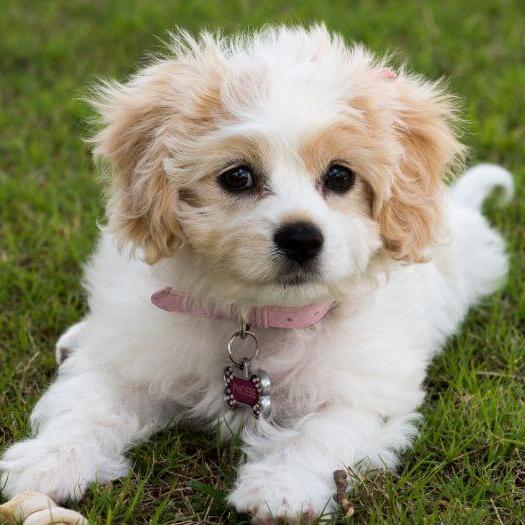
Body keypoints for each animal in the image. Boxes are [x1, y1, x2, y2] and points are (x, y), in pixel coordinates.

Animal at [0, 23, 512, 520]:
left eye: (340, 176)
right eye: (238, 177)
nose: (302, 238)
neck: (260, 316)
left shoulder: (365, 392)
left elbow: (323, 433)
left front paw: (281, 490)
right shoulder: (129, 360)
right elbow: (88, 404)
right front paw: (46, 461)